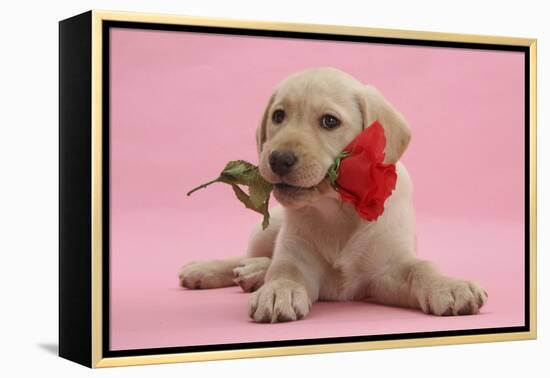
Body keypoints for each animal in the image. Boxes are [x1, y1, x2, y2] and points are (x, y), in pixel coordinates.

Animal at [180, 68, 488, 322]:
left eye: (329, 121)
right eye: (278, 116)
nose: (278, 159)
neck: (337, 209)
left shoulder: (388, 269)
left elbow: (421, 268)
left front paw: (449, 285)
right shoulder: (297, 255)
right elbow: (285, 269)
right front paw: (278, 290)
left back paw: (253, 273)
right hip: (267, 229)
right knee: (249, 256)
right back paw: (210, 270)